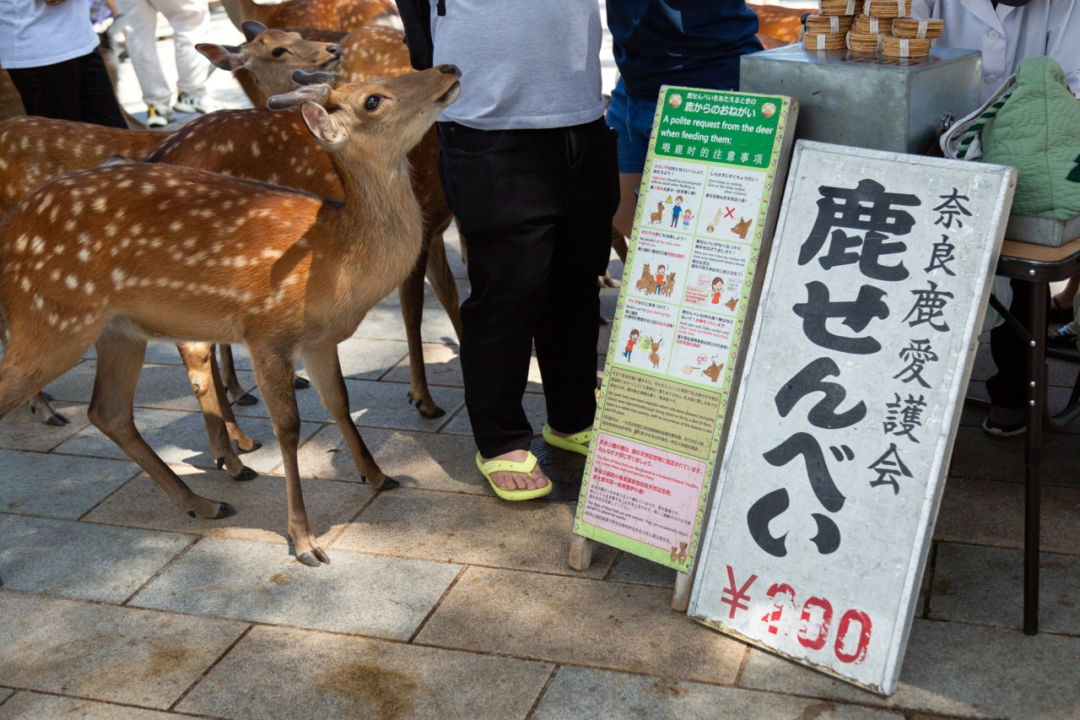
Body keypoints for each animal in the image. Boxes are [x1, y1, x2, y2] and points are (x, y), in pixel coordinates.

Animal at [191, 23, 460, 418]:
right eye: (372, 100)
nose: (448, 67)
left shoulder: (438, 228)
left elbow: (450, 295)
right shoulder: (425, 230)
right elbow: (413, 311)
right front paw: (423, 399)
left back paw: (242, 392)